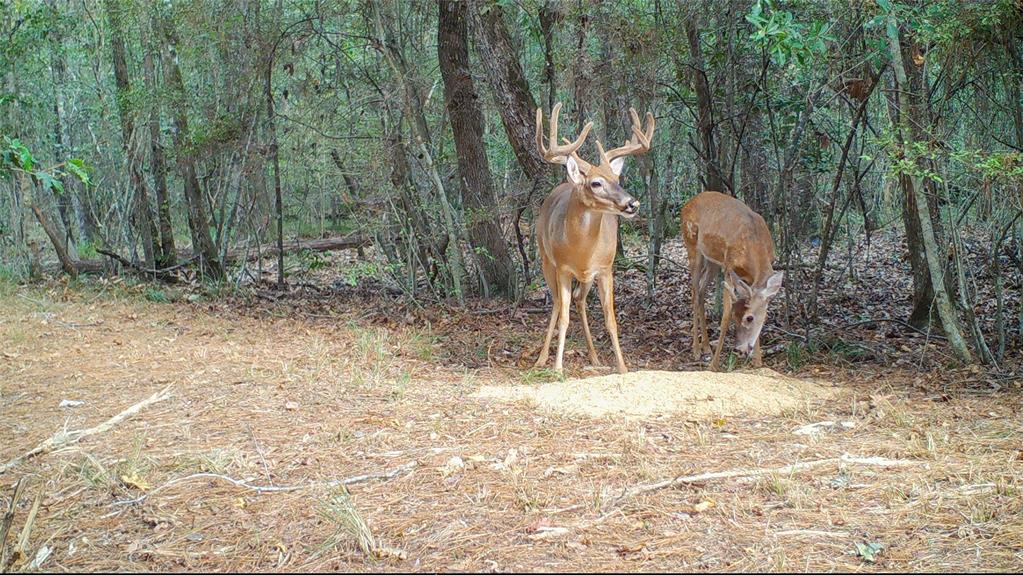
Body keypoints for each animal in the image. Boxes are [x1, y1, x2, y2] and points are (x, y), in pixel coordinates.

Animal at [531, 101, 650, 374]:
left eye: (617, 179)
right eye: (596, 183)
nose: (633, 203)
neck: (581, 251)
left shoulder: (605, 269)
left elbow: (611, 319)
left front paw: (622, 367)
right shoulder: (563, 268)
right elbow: (563, 318)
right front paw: (557, 368)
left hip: (587, 278)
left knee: (579, 300)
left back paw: (594, 357)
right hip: (545, 260)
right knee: (557, 302)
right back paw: (541, 358)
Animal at [683, 191, 785, 372]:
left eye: (749, 318)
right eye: (735, 318)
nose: (740, 349)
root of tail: (688, 203)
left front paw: (758, 362)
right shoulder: (729, 267)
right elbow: (725, 314)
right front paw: (713, 365)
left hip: (713, 262)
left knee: (701, 292)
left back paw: (706, 347)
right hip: (692, 246)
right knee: (694, 294)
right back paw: (696, 350)